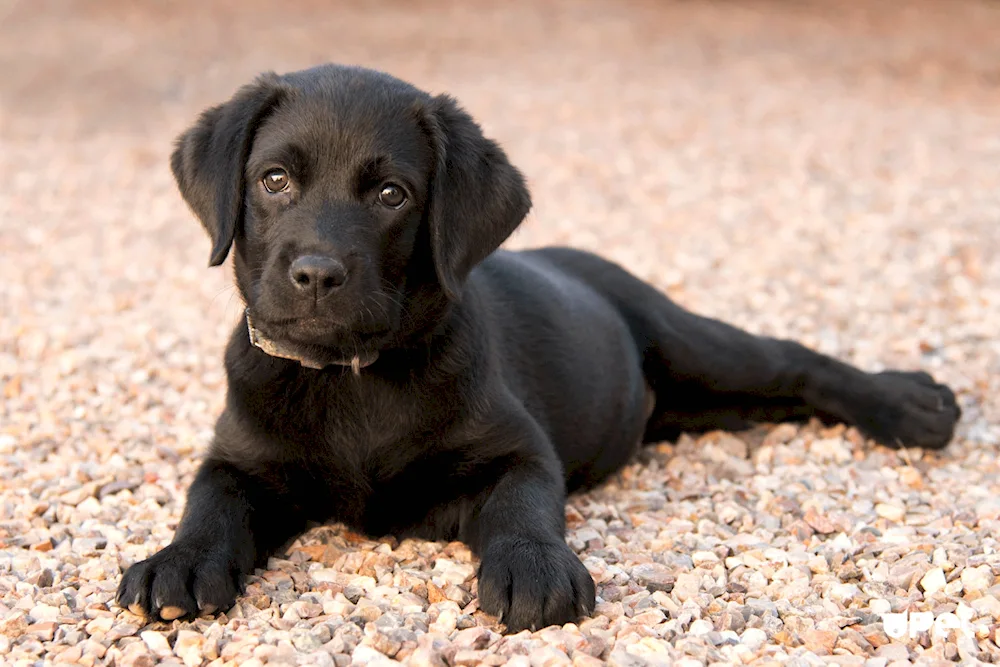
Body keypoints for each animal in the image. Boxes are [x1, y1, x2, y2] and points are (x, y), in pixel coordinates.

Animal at [117, 65, 960, 636]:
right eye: (274, 180)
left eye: (392, 195)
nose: (318, 273)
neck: (353, 378)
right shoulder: (239, 456)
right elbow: (210, 501)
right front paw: (181, 560)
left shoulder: (518, 447)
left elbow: (522, 505)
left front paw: (532, 566)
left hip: (690, 342)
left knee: (789, 361)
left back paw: (910, 402)